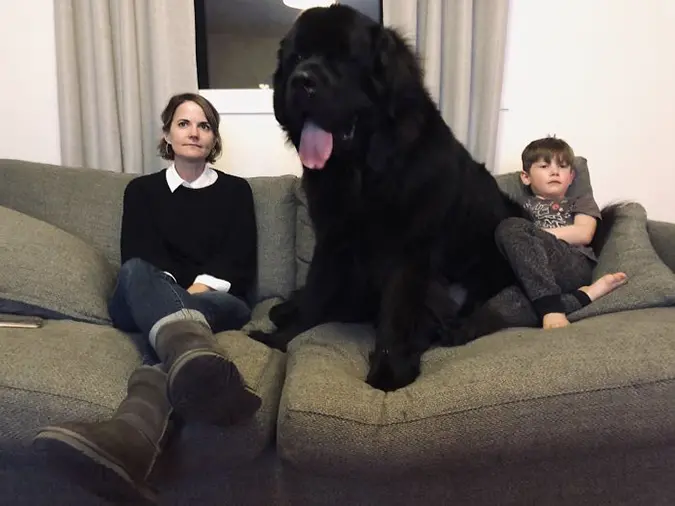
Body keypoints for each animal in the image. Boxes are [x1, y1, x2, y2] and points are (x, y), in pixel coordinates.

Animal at [251, 2, 524, 392]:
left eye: (344, 58)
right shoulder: (332, 239)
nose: (302, 80)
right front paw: (282, 338)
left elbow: (397, 312)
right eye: (298, 56)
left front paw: (388, 373)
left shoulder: (408, 251)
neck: (364, 172)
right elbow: (316, 291)